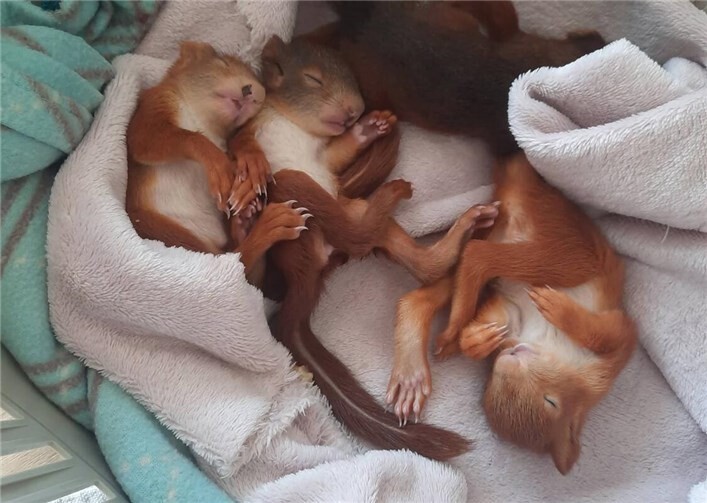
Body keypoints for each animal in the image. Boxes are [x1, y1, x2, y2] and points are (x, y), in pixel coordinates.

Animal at [126, 41, 309, 287]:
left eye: (261, 98)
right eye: (222, 63)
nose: (254, 92)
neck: (203, 120)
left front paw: (251, 168)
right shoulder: (153, 105)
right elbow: (160, 139)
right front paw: (220, 168)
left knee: (244, 269)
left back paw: (246, 222)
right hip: (160, 229)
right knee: (236, 261)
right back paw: (265, 226)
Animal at [228, 35, 500, 460]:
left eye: (352, 79)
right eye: (313, 79)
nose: (355, 110)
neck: (286, 118)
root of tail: (310, 271)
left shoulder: (325, 155)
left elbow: (339, 152)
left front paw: (371, 126)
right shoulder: (248, 131)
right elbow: (241, 145)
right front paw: (250, 168)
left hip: (349, 209)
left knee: (414, 259)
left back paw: (459, 226)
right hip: (295, 188)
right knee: (353, 231)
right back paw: (391, 192)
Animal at [388, 152, 637, 473]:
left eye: (550, 402)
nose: (508, 357)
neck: (546, 344)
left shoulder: (515, 314)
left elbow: (605, 333)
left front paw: (480, 338)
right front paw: (480, 338)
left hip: (557, 250)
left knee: (465, 260)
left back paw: (450, 333)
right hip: (566, 255)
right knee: (473, 256)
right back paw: (452, 329)